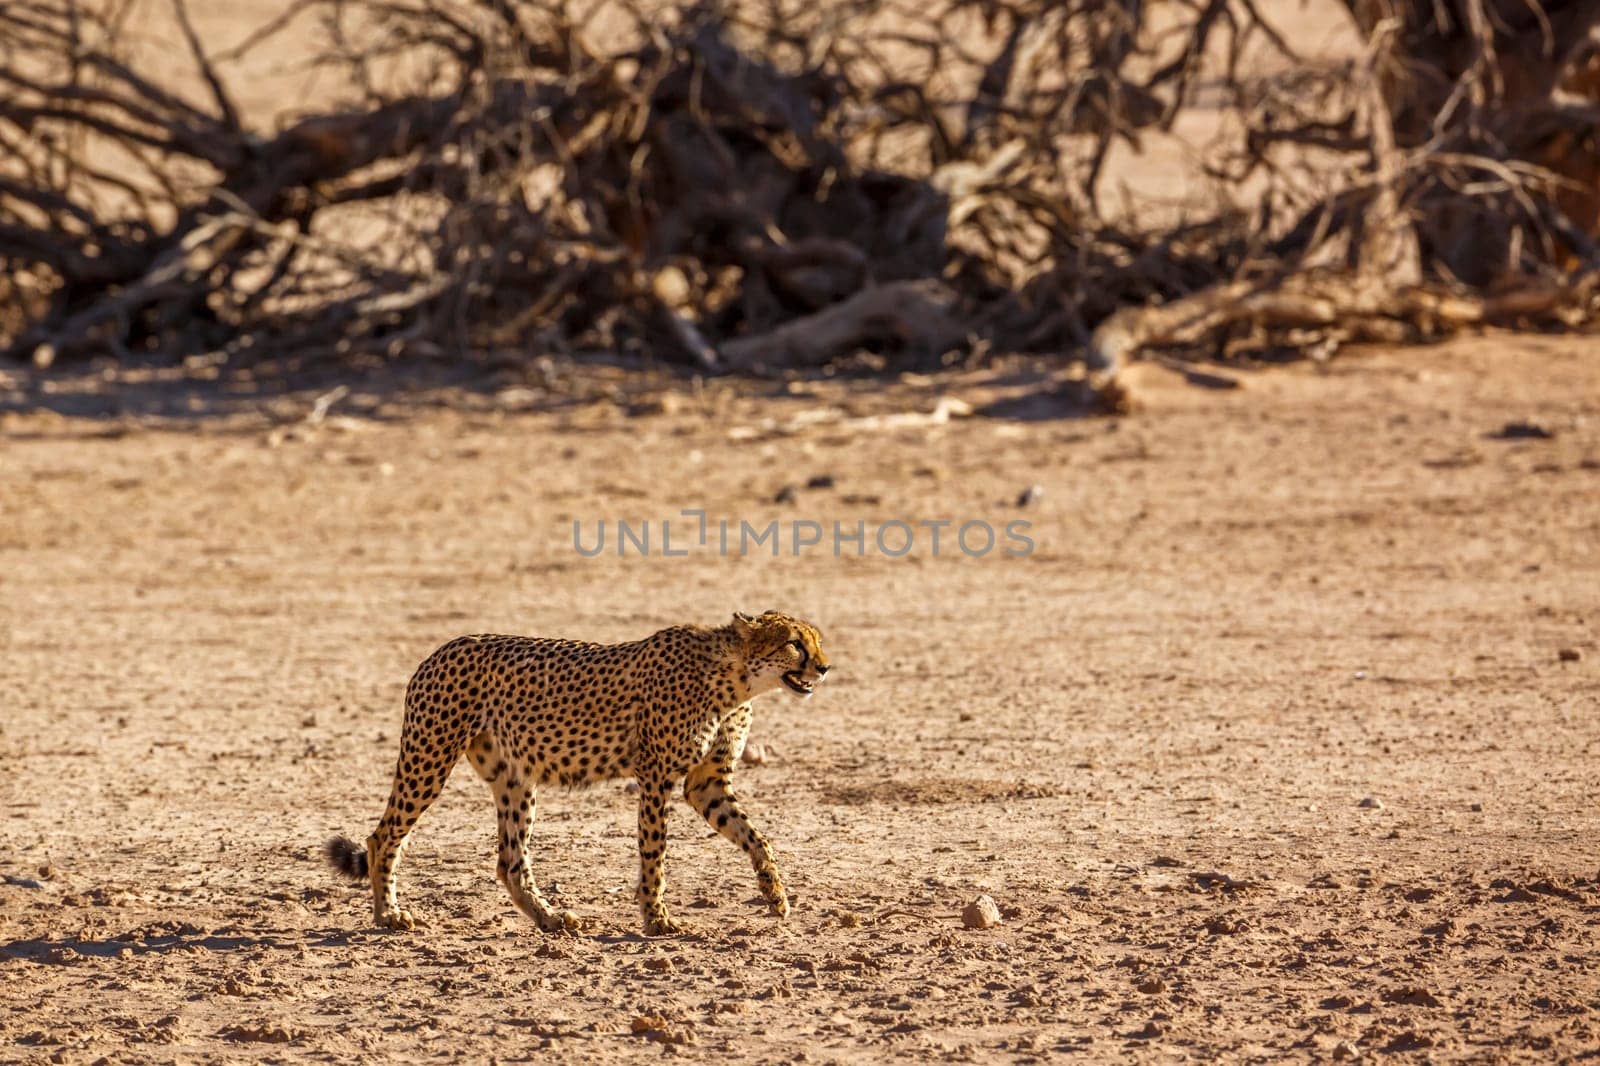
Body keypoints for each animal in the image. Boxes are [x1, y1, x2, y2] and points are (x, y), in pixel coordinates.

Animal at [320, 611, 832, 934]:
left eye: (818, 642)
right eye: (794, 644)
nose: (826, 668)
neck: (735, 679)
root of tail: (440, 650)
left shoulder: (706, 783)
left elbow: (755, 836)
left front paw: (775, 894)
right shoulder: (656, 777)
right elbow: (655, 854)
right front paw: (657, 920)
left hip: (514, 779)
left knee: (510, 862)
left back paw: (551, 919)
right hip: (430, 756)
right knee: (383, 837)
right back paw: (389, 916)